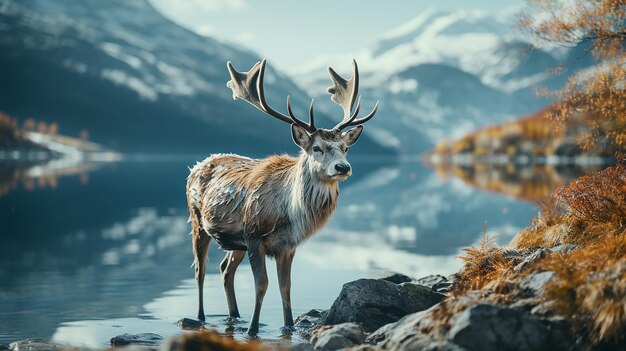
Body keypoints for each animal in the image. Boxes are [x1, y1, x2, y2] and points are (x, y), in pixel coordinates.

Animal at [185, 59, 378, 336]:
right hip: (197, 221)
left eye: (345, 148)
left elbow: (285, 287)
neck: (289, 214)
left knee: (224, 269)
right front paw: (253, 330)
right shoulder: (254, 235)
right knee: (200, 270)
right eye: (316, 148)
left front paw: (288, 326)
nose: (343, 167)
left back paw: (234, 315)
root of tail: (198, 165)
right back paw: (202, 317)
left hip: (235, 242)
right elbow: (262, 285)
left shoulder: (287, 245)